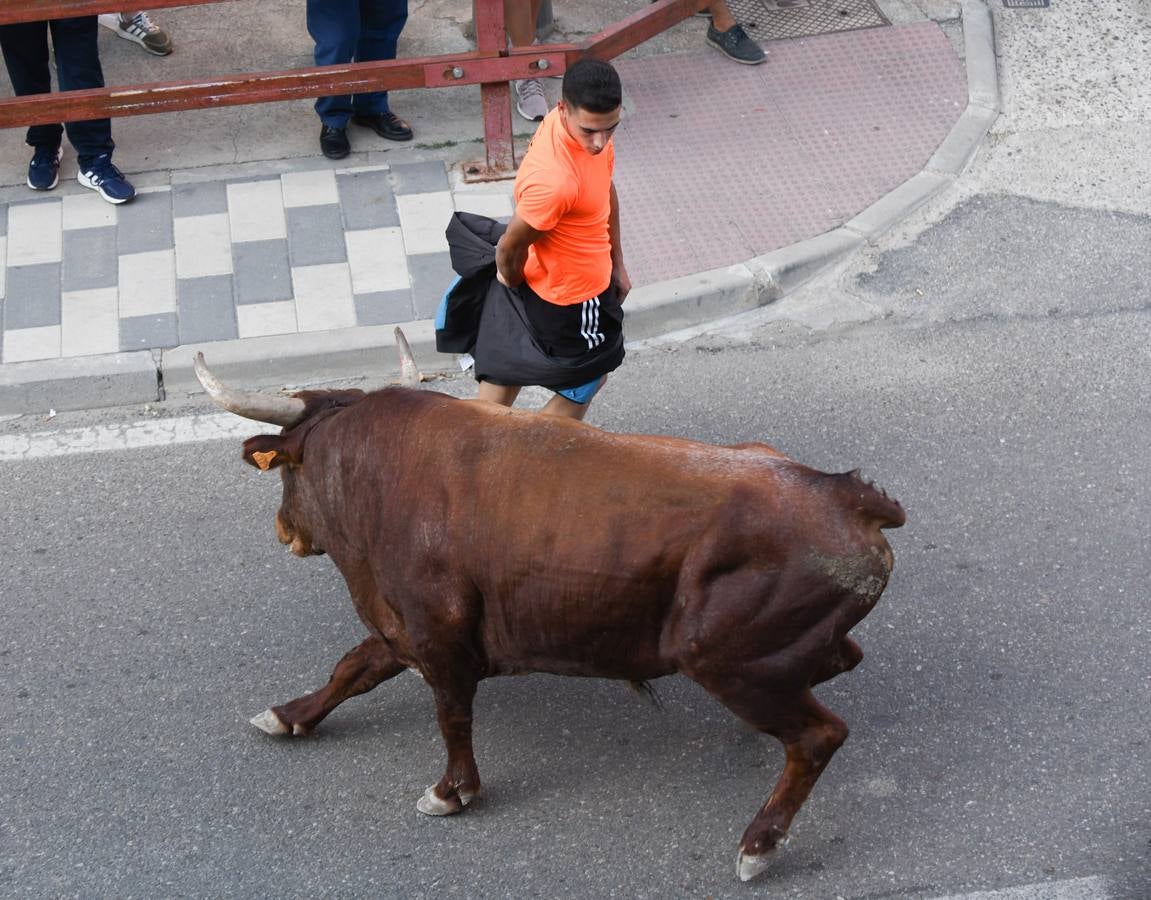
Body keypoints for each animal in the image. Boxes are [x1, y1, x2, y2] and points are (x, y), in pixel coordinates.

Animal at [195, 349, 897, 879]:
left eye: (287, 469)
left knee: (818, 736)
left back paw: (758, 845)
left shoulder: (436, 634)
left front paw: (451, 792)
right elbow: (351, 668)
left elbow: (451, 715)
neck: (378, 474)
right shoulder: (399, 628)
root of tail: (845, 495)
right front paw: (288, 716)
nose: (284, 531)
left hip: (725, 661)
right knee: (840, 662)